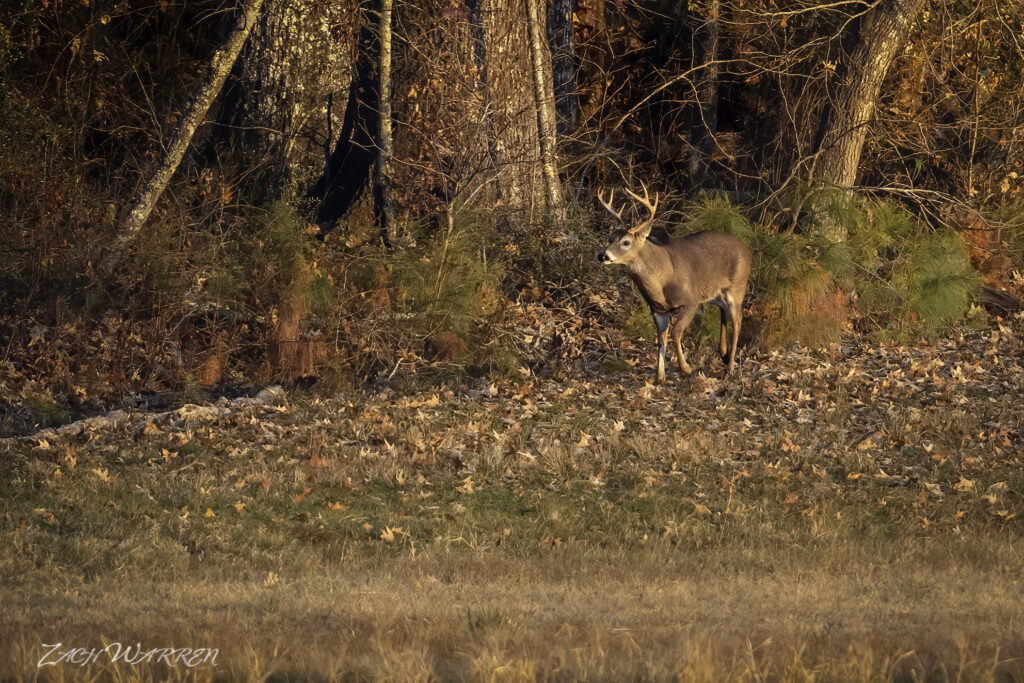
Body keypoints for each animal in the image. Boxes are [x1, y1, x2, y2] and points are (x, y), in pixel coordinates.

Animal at [598, 184, 757, 382]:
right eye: (610, 238)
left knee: (738, 319)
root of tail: (748, 249)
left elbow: (675, 333)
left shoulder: (691, 301)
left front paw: (687, 368)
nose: (603, 255)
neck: (660, 281)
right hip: (713, 291)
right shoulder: (658, 309)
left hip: (738, 285)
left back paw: (730, 368)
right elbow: (661, 338)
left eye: (626, 242)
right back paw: (724, 353)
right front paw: (659, 376)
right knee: (723, 308)